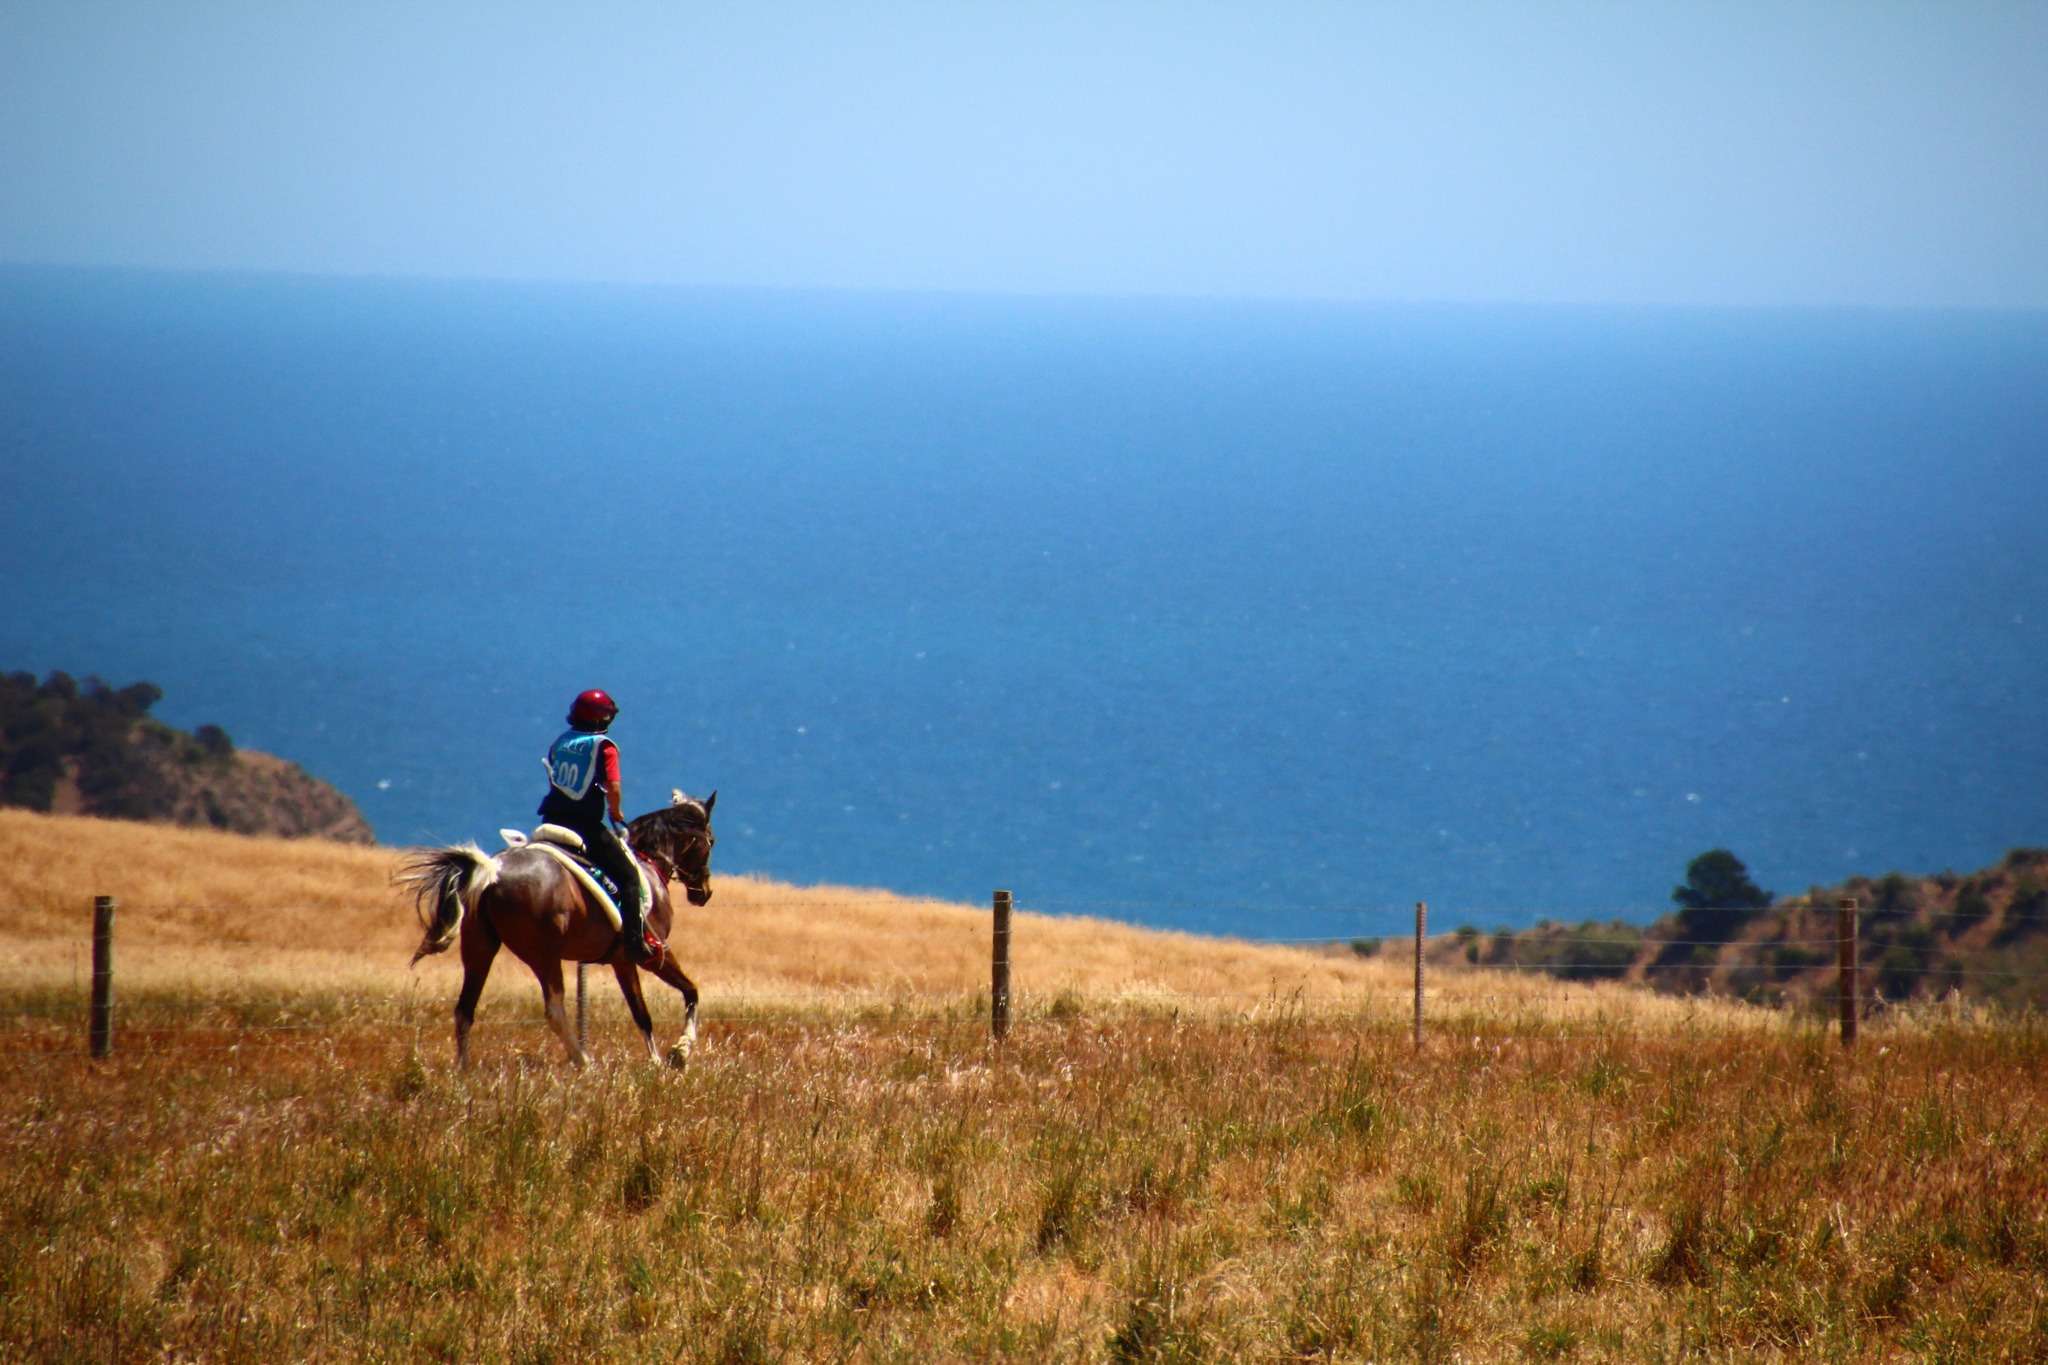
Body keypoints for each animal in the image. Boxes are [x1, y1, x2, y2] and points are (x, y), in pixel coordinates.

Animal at [399, 789, 720, 1064]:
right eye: (711, 840)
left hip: (480, 948)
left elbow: (650, 1008)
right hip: (543, 955)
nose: (704, 893)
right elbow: (682, 996)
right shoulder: (650, 955)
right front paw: (675, 1053)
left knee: (465, 1009)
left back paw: (463, 1071)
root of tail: (494, 871)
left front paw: (662, 1059)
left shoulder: (622, 961)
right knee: (554, 1010)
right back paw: (584, 1062)